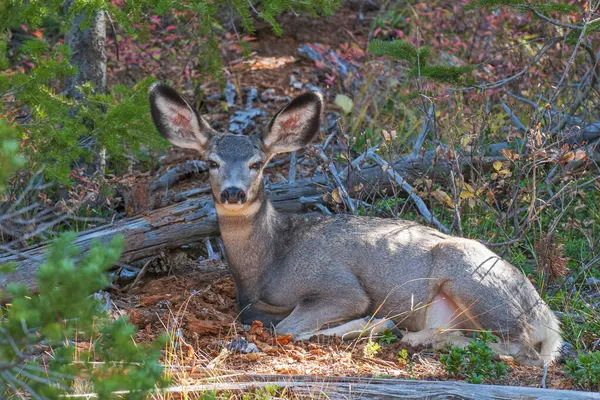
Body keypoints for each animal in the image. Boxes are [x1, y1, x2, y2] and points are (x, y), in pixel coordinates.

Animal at [148, 83, 560, 366]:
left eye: (257, 163)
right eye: (211, 162)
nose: (233, 192)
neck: (268, 263)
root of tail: (548, 319)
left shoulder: (338, 285)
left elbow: (289, 327)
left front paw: (366, 323)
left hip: (472, 279)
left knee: (523, 349)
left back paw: (410, 336)